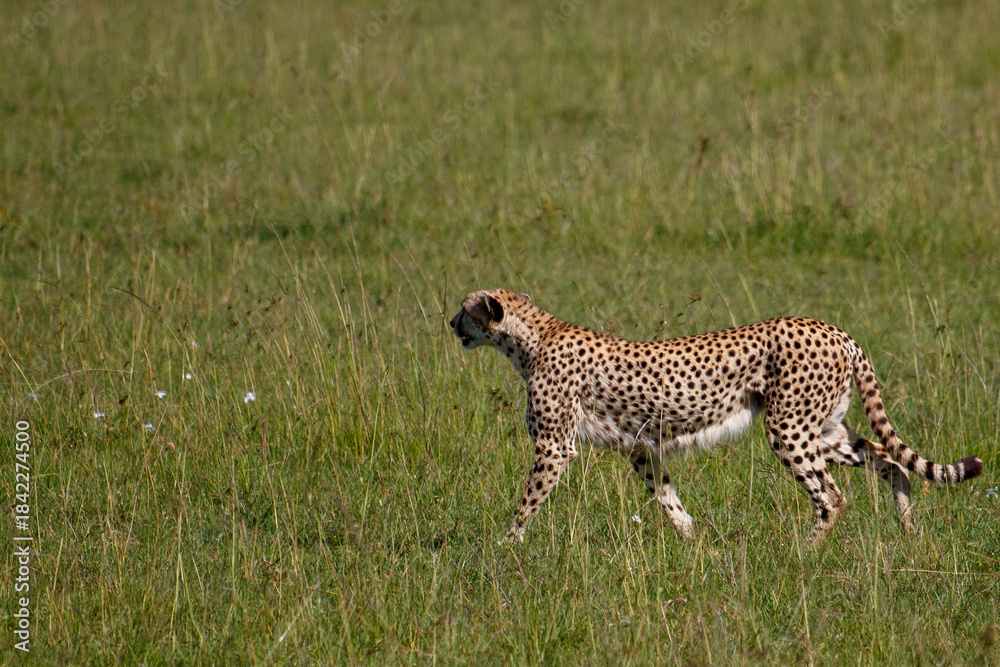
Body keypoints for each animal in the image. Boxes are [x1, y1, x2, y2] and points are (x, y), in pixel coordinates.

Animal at [450, 288, 984, 545]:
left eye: (465, 309)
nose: (450, 322)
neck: (531, 337)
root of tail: (834, 329)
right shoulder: (642, 449)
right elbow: (668, 500)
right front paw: (696, 545)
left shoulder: (555, 448)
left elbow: (527, 502)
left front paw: (503, 548)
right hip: (824, 428)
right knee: (889, 461)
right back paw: (909, 531)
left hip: (788, 428)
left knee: (832, 497)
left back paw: (800, 555)